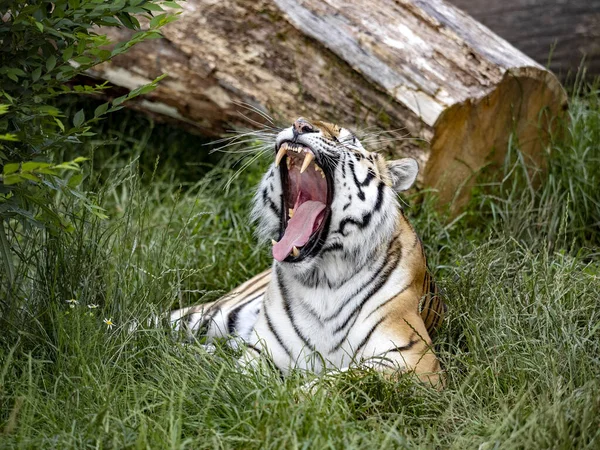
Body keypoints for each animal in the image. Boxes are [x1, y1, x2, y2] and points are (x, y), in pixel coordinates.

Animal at [169, 118, 446, 384]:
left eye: (348, 140)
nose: (300, 124)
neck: (323, 280)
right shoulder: (262, 353)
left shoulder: (415, 361)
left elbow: (334, 381)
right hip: (213, 314)